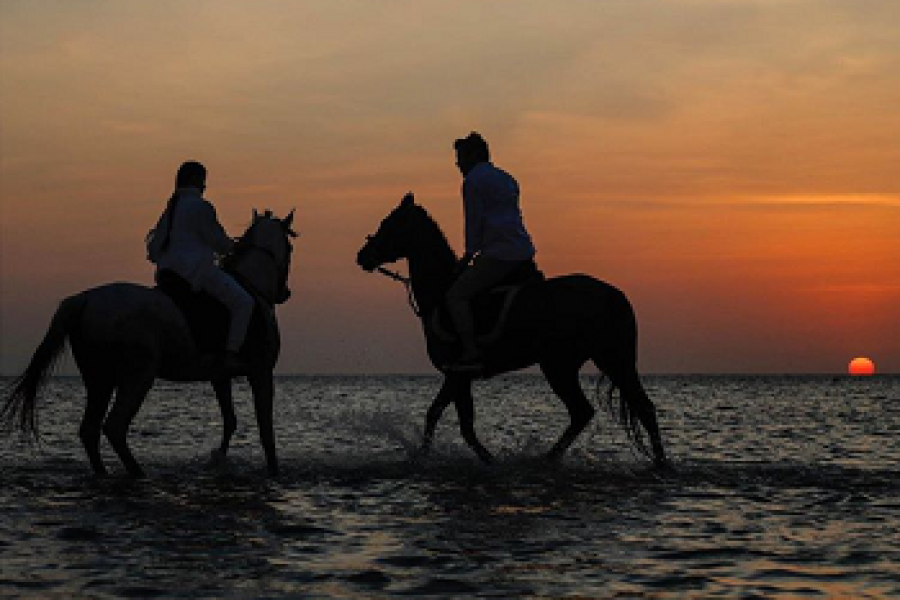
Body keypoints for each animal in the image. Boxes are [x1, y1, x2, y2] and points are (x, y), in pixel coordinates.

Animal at [1, 211, 298, 478]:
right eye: (290, 247)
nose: (285, 293)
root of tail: (85, 299)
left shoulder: (220, 376)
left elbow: (230, 421)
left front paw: (217, 462)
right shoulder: (261, 373)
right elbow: (266, 429)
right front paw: (273, 472)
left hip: (99, 379)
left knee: (90, 429)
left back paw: (105, 473)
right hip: (138, 375)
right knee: (114, 426)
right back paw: (138, 473)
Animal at [358, 195, 668, 466]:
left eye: (389, 224)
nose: (362, 256)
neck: (441, 292)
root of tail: (614, 295)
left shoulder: (458, 374)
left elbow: (459, 424)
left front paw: (485, 461)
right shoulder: (456, 376)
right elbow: (442, 416)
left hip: (584, 362)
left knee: (617, 408)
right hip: (583, 362)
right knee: (602, 410)